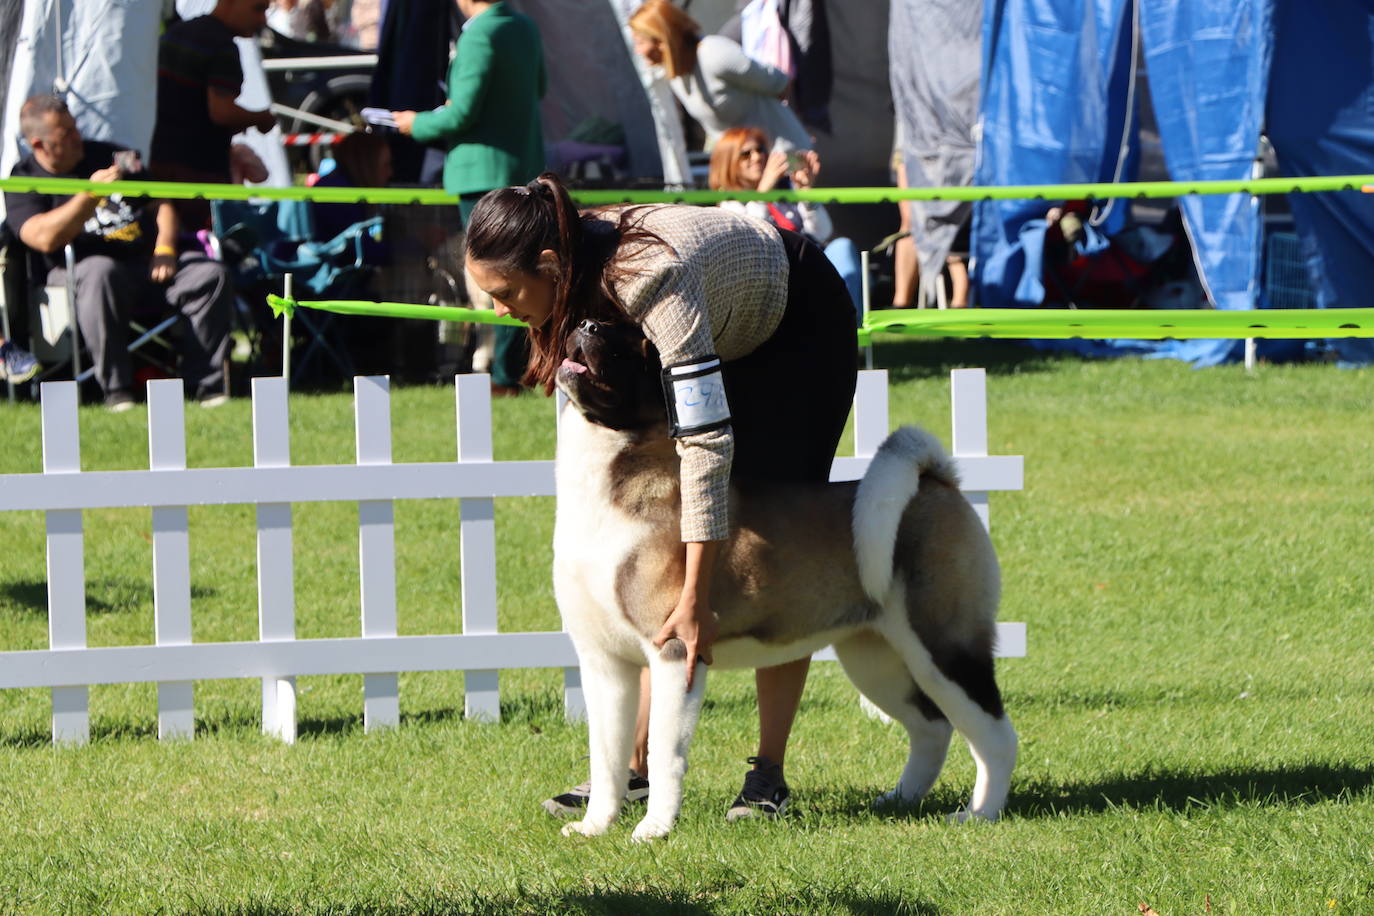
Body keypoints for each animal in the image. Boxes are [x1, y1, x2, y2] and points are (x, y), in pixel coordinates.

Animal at [552, 318, 1016, 840]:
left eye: (637, 348)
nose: (586, 324)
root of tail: (936, 481)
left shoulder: (676, 653)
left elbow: (663, 752)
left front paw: (654, 830)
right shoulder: (604, 665)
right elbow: (606, 757)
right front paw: (595, 826)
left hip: (942, 648)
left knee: (994, 734)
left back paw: (981, 812)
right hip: (876, 658)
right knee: (932, 727)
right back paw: (901, 799)